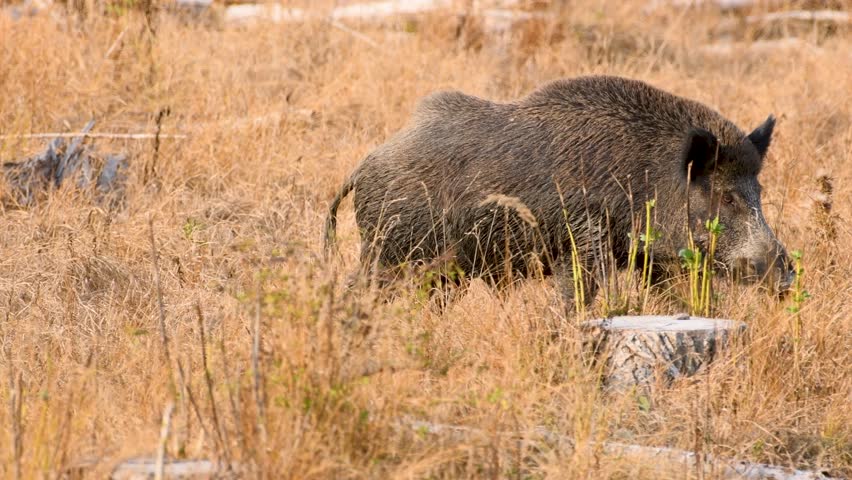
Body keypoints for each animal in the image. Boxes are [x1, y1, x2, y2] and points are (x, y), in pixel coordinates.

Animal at [323, 75, 794, 305]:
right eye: (726, 195)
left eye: (759, 191)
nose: (787, 274)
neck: (646, 175)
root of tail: (363, 165)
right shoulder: (585, 241)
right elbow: (578, 296)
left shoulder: (649, 259)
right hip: (388, 253)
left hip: (438, 269)